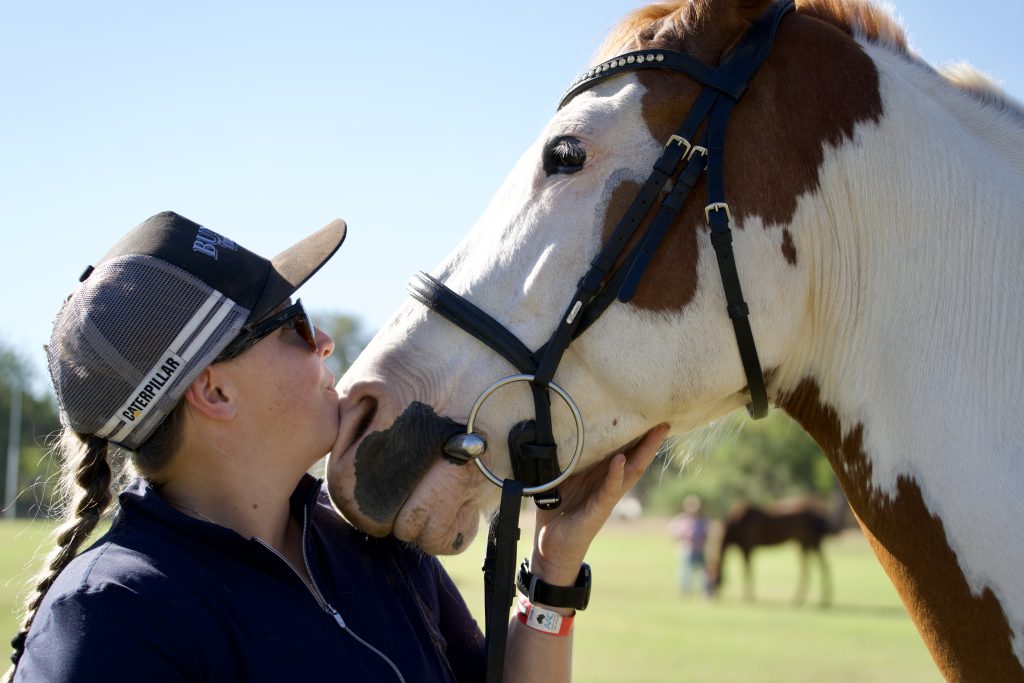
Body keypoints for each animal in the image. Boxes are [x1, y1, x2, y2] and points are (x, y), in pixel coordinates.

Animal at [707, 500, 837, 605]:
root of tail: (818, 515)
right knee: (809, 568)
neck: (736, 524)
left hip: (812, 541)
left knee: (822, 565)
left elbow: (747, 571)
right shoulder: (745, 548)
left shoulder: (747, 547)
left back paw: (821, 601)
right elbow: (748, 570)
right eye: (708, 575)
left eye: (717, 578)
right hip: (804, 543)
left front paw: (748, 597)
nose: (713, 597)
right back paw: (802, 600)